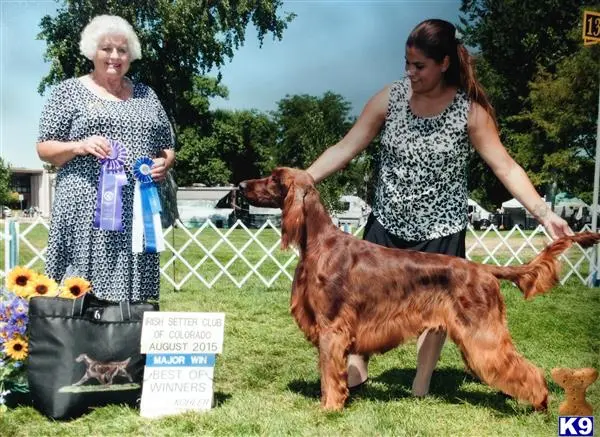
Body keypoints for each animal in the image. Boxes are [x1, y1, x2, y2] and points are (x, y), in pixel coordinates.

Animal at [239, 166, 600, 408]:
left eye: (275, 179)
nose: (241, 185)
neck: (319, 244)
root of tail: (484, 269)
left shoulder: (332, 329)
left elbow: (330, 374)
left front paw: (328, 409)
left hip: (482, 333)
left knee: (523, 367)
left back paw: (539, 402)